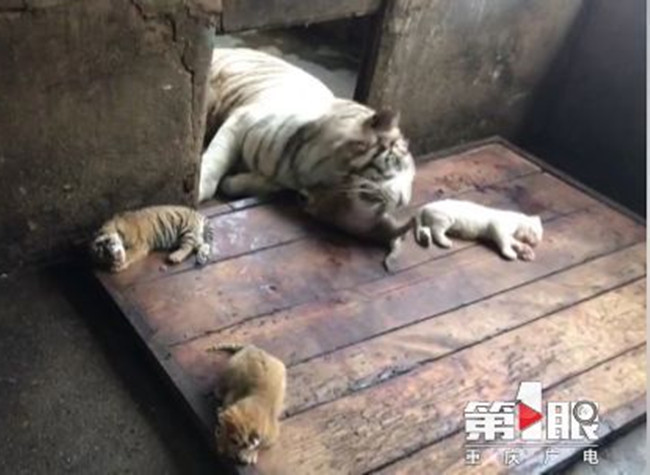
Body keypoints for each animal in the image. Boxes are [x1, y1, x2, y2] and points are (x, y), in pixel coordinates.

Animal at [198, 48, 416, 243]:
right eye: (397, 162)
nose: (404, 201)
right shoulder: (240, 120)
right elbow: (214, 162)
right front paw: (200, 188)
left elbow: (257, 184)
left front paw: (231, 182)